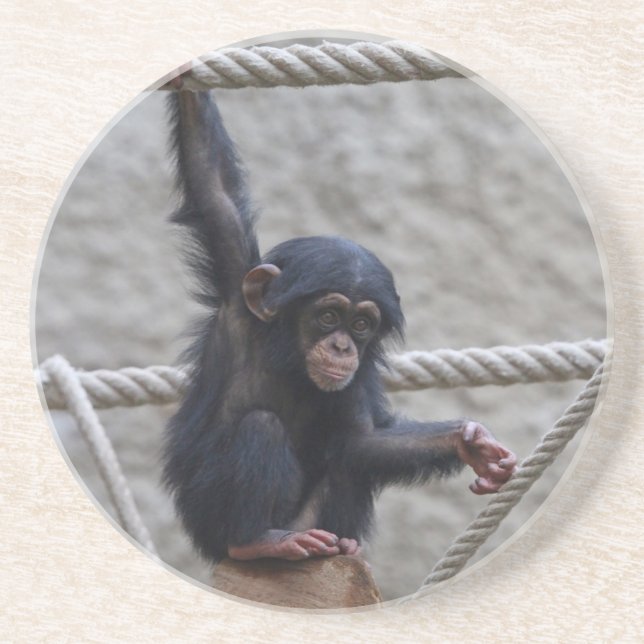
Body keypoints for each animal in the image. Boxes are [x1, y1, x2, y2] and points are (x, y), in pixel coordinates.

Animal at [162, 86, 517, 563]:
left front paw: (471, 443)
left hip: (313, 524)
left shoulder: (357, 378)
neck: (288, 358)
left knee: (350, 461)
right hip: (212, 523)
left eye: (362, 324)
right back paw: (257, 542)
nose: (343, 347)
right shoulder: (237, 295)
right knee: (261, 427)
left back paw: (344, 544)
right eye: (328, 316)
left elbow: (363, 440)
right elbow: (212, 184)